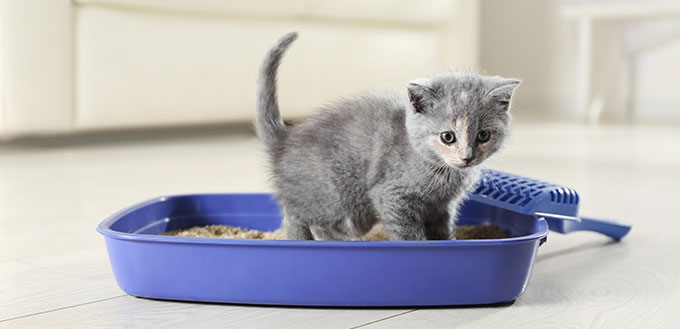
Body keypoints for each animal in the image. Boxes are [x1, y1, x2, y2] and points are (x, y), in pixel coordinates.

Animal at [256, 32, 520, 240]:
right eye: (448, 137)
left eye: (483, 135)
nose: (467, 157)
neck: (441, 171)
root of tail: (285, 140)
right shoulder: (392, 196)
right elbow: (409, 235)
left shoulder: (442, 208)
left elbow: (443, 232)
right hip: (338, 200)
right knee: (296, 215)